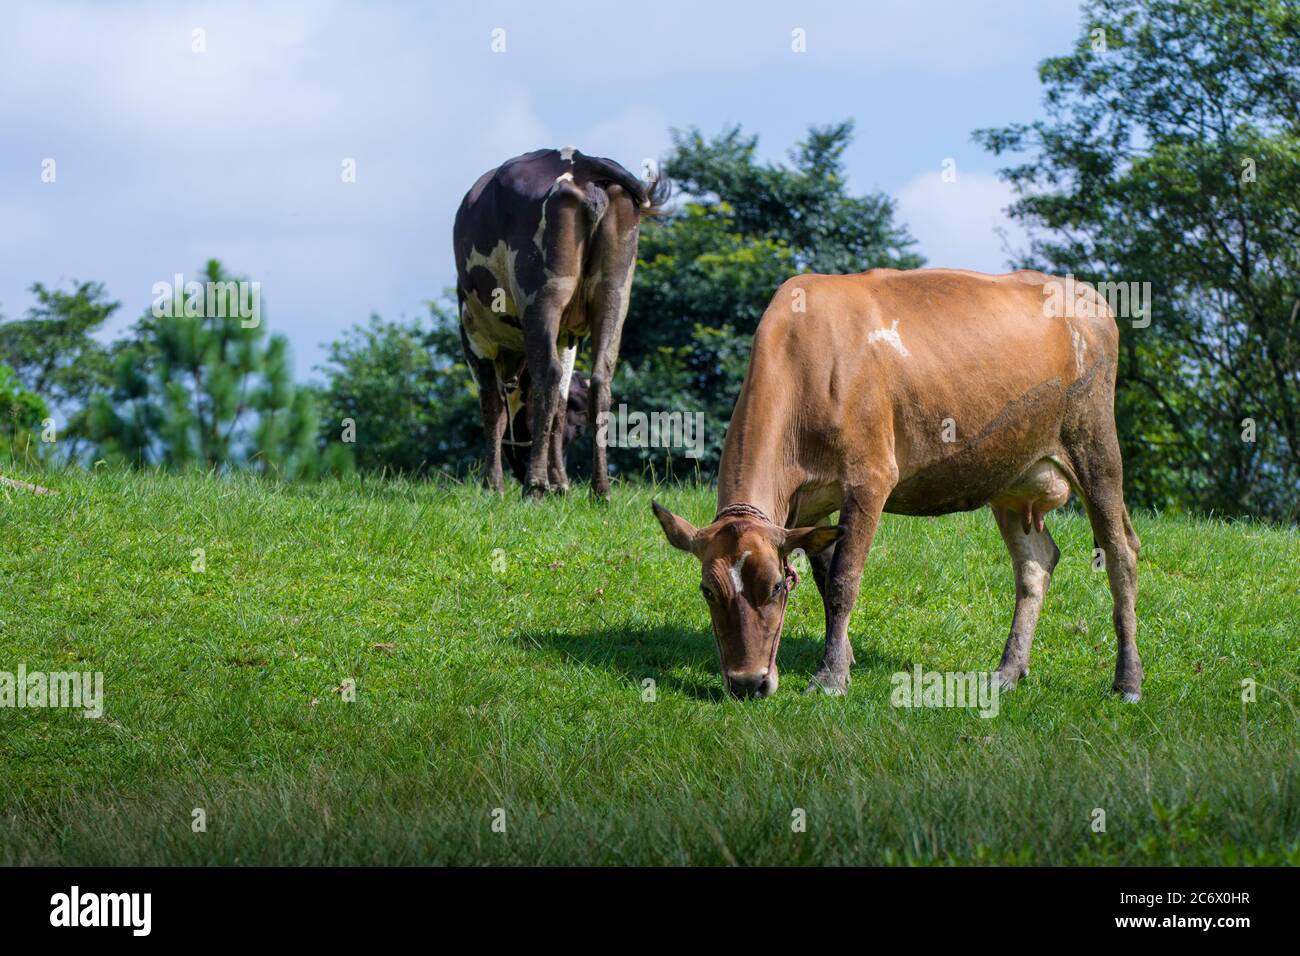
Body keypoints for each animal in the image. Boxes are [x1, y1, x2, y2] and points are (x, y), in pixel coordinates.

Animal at [454, 147, 668, 498]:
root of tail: (580, 161)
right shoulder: (567, 337)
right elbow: (558, 406)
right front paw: (560, 483)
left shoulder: (474, 336)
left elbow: (492, 408)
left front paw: (493, 485)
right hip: (615, 293)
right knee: (600, 380)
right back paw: (600, 490)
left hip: (541, 296)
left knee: (548, 376)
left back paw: (534, 486)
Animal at [653, 268, 1143, 702]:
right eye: (707, 590)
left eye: (775, 586)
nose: (747, 683)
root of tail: (1086, 295)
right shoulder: (812, 505)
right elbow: (824, 576)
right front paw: (843, 658)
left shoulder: (869, 478)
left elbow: (843, 581)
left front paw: (830, 678)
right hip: (1011, 475)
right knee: (1035, 564)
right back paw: (1007, 671)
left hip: (1095, 445)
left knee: (1121, 555)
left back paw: (1128, 681)